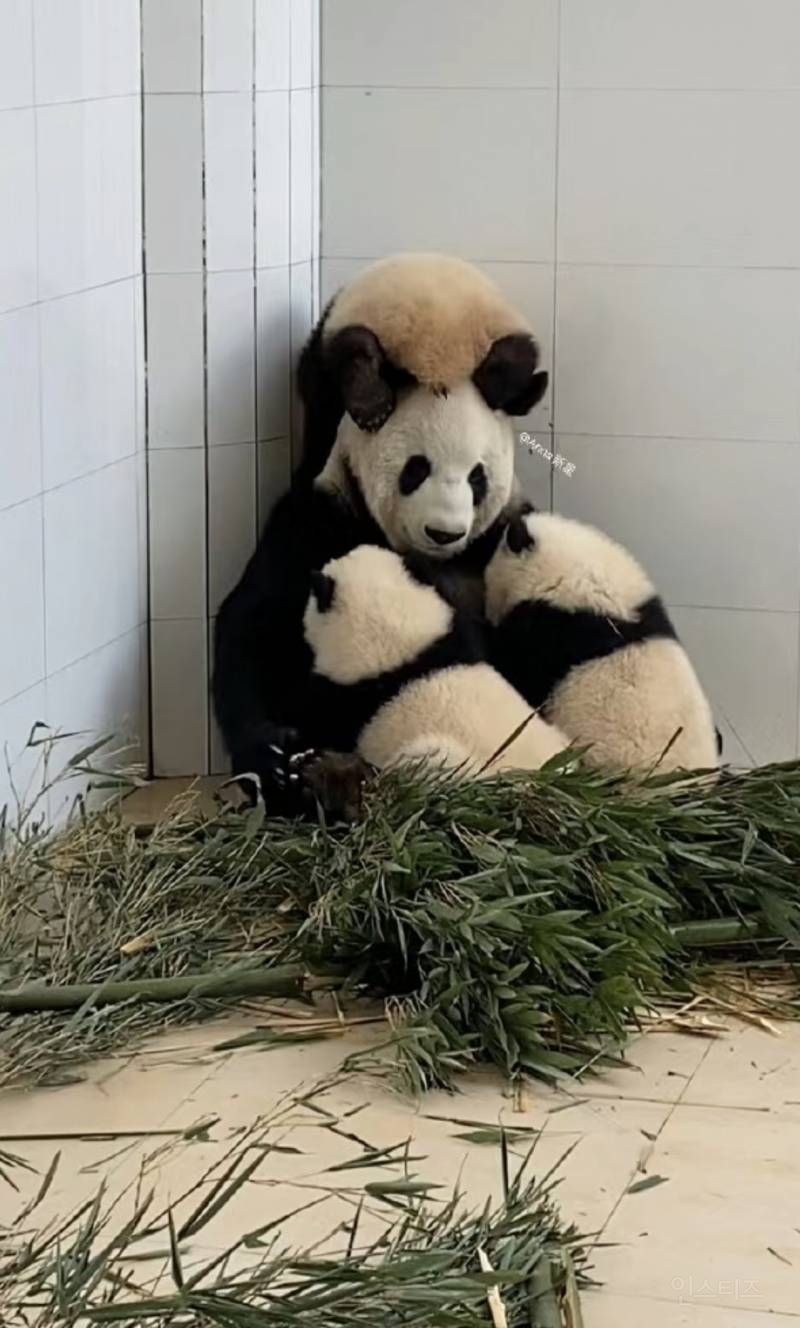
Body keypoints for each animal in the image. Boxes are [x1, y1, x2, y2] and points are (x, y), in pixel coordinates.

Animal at [211, 249, 547, 807]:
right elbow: (253, 625)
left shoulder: (493, 544)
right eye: (416, 469)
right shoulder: (320, 520)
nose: (445, 531)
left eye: (478, 477)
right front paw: (272, 754)